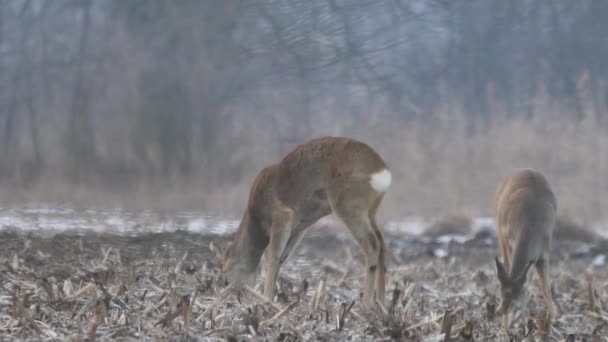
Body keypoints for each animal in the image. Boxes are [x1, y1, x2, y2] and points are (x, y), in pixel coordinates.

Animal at [221, 136, 392, 308]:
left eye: (225, 279)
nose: (232, 299)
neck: (256, 218)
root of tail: (381, 170)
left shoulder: (282, 215)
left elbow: (273, 256)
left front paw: (266, 299)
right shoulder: (298, 227)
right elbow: (282, 258)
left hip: (347, 204)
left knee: (372, 245)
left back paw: (366, 304)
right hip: (371, 211)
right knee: (382, 244)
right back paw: (382, 302)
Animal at [492, 168, 560, 328]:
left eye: (517, 294)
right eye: (500, 290)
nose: (500, 311)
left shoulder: (544, 253)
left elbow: (546, 288)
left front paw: (553, 318)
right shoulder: (508, 240)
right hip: (500, 233)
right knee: (506, 264)